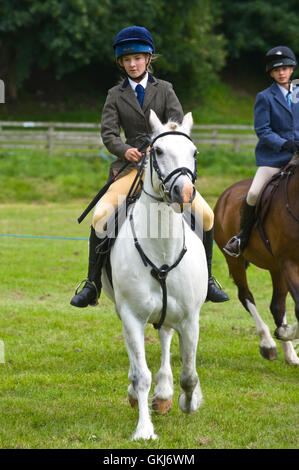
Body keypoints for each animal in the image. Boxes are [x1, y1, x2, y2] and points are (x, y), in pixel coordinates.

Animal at [101, 111, 209, 440]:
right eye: (157, 151)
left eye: (194, 153)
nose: (184, 192)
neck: (161, 250)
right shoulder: (132, 317)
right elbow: (141, 375)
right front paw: (144, 429)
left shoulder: (190, 318)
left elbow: (189, 373)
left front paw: (189, 402)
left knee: (164, 337)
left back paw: (164, 395)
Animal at [214, 160, 299, 366]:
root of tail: (227, 193)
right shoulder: (289, 263)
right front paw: (284, 334)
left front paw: (287, 334)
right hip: (235, 260)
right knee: (245, 295)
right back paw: (268, 343)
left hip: (277, 268)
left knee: (277, 307)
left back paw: (290, 354)